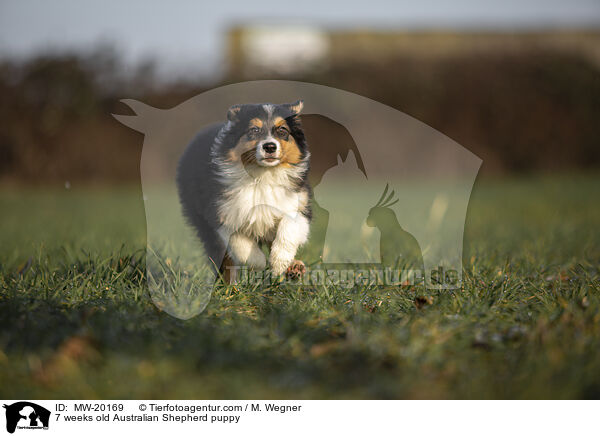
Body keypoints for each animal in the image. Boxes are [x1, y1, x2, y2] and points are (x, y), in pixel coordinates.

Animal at [176, 100, 312, 282]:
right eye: (254, 130)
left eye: (282, 130)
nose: (270, 146)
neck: (262, 175)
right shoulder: (222, 212)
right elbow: (240, 243)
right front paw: (259, 263)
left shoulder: (298, 202)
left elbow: (289, 227)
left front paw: (279, 263)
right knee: (224, 260)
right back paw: (229, 285)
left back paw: (295, 268)